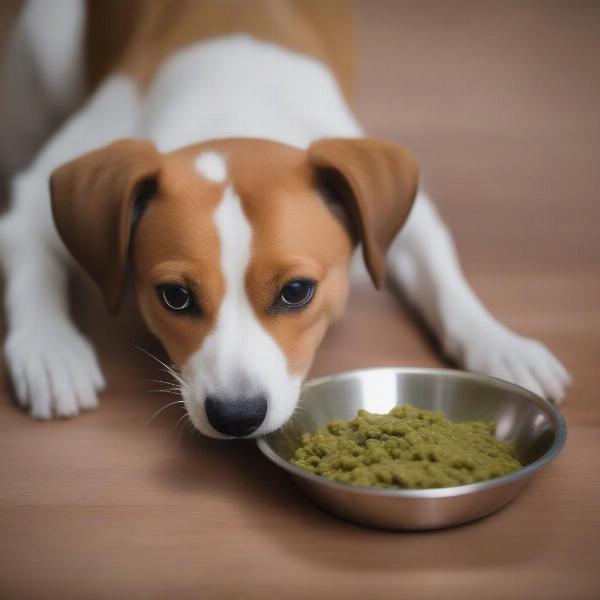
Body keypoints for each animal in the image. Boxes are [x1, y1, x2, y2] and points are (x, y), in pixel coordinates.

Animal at [0, 1, 568, 440]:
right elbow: (31, 259)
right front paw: (48, 345)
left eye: (297, 291)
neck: (232, 96)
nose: (236, 416)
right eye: (175, 297)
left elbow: (443, 278)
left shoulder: (407, 212)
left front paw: (498, 342)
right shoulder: (38, 195)